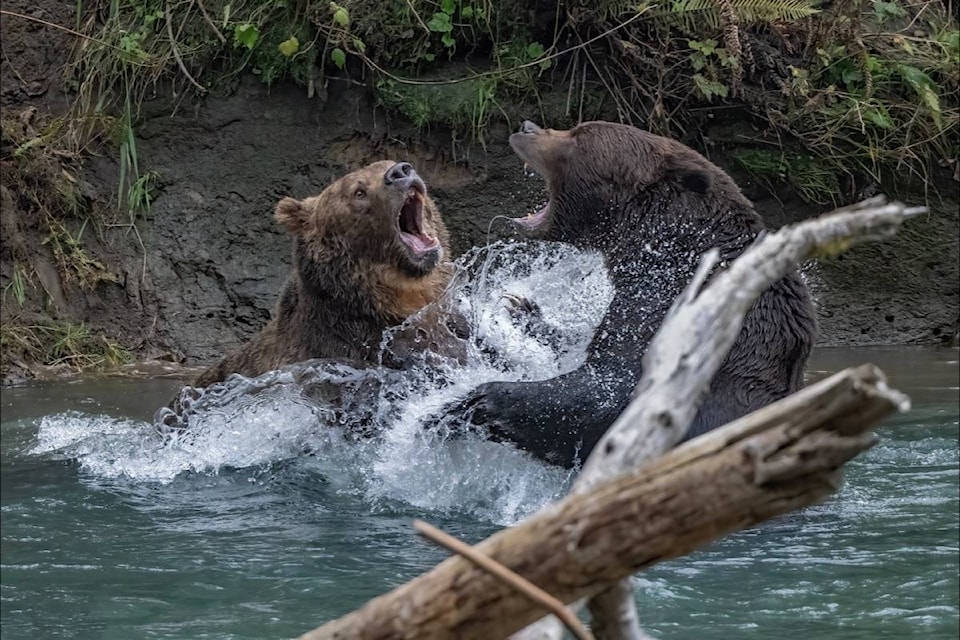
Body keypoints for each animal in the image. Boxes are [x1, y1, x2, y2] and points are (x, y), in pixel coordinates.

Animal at [450, 122, 816, 468]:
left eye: (578, 136)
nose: (526, 127)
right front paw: (521, 310)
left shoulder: (681, 315)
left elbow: (610, 391)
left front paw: (472, 401)